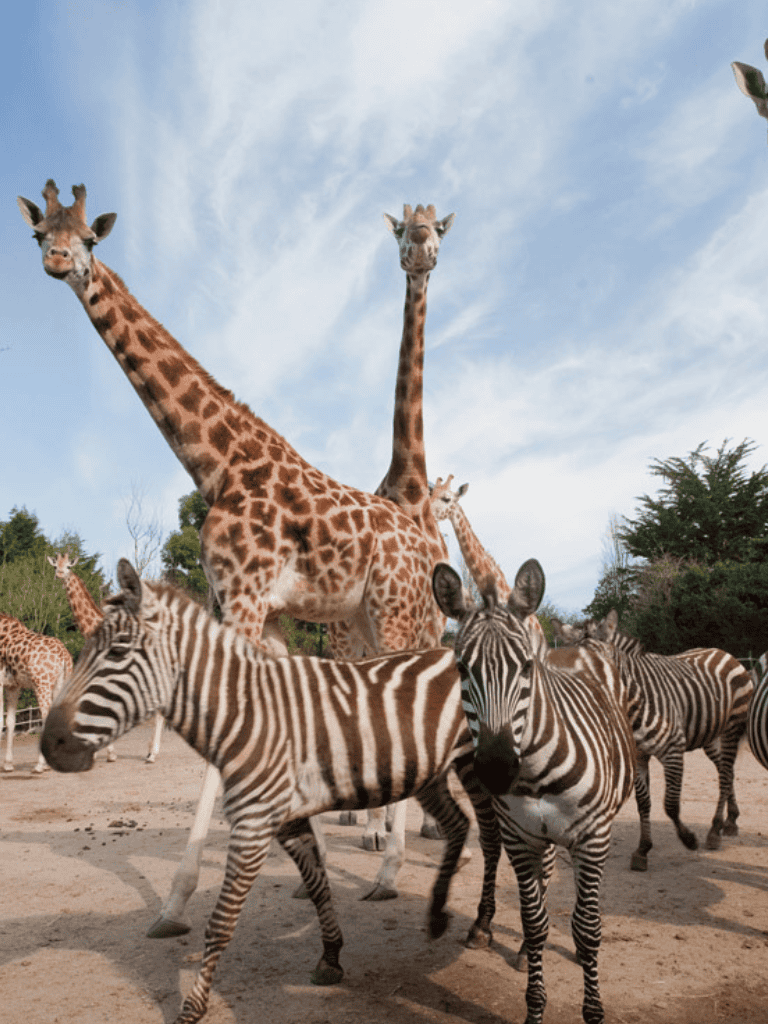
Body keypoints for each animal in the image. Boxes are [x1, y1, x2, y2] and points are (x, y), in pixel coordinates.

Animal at [0, 612, 72, 773]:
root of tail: (64, 656)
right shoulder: (12, 686)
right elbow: (10, 722)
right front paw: (8, 764)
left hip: (42, 684)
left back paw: (40, 765)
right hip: (60, 684)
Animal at [432, 560, 635, 1024]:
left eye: (527, 667)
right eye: (461, 670)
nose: (495, 768)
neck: (536, 774)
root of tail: (582, 644)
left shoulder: (592, 839)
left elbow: (587, 927)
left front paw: (593, 1011)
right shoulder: (521, 838)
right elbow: (535, 920)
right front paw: (534, 1003)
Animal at [552, 610, 754, 871]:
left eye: (601, 668)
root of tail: (723, 653)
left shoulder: (673, 749)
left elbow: (670, 804)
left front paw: (689, 839)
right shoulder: (638, 756)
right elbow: (643, 803)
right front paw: (643, 849)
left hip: (732, 728)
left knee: (726, 774)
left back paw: (715, 830)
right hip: (709, 735)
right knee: (725, 771)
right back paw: (730, 821)